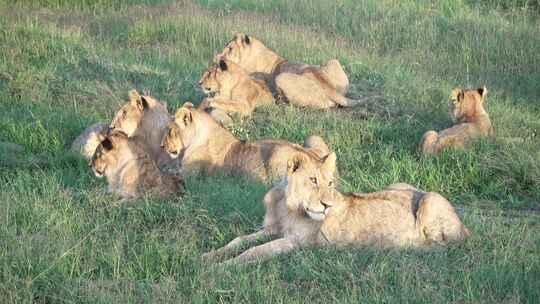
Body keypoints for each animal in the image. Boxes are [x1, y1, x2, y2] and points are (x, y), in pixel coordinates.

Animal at [160, 102, 332, 183]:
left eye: (169, 130)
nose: (161, 146)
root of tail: (318, 161)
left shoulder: (188, 175)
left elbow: (167, 174)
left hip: (279, 154)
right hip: (313, 138)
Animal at [202, 153, 468, 264]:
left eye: (330, 183)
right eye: (313, 180)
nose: (327, 205)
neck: (286, 206)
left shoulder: (297, 242)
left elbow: (254, 251)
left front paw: (223, 268)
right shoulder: (270, 229)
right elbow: (238, 240)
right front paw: (209, 256)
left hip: (430, 199)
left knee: (443, 247)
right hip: (399, 185)